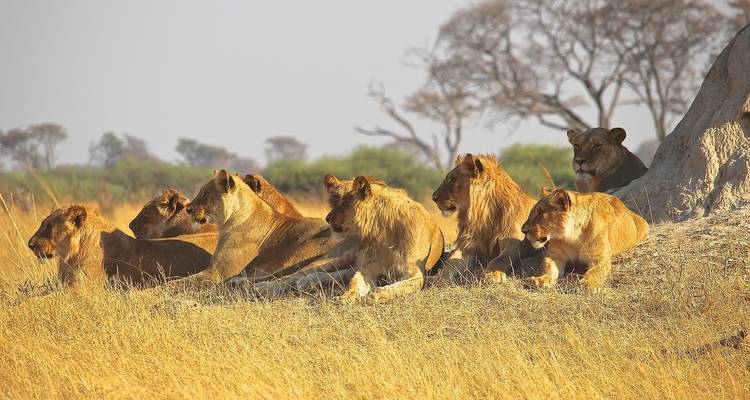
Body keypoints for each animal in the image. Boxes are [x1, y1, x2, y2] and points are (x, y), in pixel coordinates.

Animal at [432, 153, 539, 282]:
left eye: (451, 180)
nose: (433, 198)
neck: (483, 217)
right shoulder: (467, 247)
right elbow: (450, 263)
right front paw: (437, 278)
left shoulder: (514, 244)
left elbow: (500, 259)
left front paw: (491, 274)